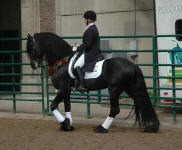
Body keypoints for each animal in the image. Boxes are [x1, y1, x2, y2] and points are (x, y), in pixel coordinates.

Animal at [26, 32, 160, 132]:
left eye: (31, 47)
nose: (33, 65)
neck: (62, 61)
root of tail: (132, 65)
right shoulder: (67, 90)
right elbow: (67, 107)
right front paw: (68, 125)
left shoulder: (62, 89)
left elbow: (53, 105)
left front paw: (64, 123)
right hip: (129, 88)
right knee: (142, 102)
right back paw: (151, 126)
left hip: (114, 89)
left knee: (115, 109)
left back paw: (102, 128)